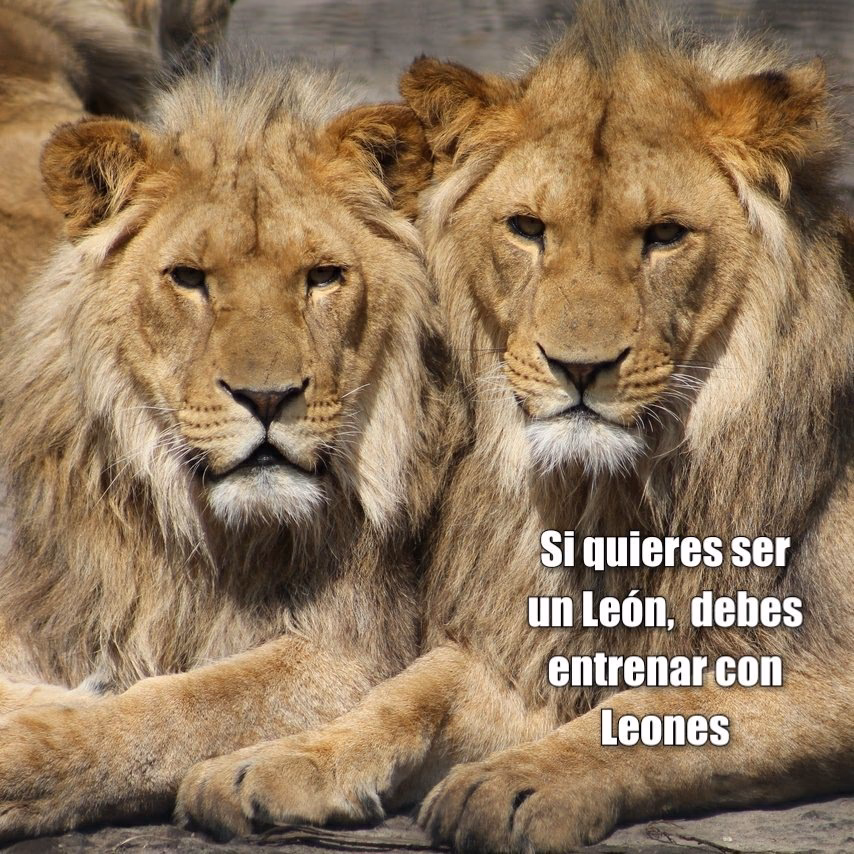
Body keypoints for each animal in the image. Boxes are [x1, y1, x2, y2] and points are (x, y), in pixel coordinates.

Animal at [174, 1, 854, 850]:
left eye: (665, 234)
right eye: (527, 229)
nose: (579, 369)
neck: (613, 499)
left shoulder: (825, 669)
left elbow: (653, 708)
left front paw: (515, 782)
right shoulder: (523, 648)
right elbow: (413, 691)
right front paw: (276, 761)